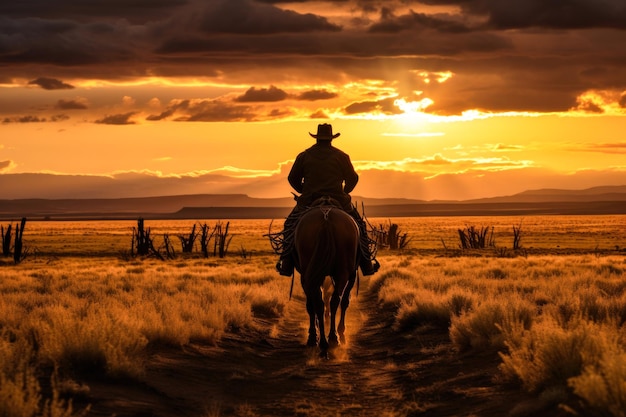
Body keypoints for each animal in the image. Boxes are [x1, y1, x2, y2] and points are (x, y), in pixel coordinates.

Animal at [292, 198, 356, 358]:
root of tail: (326, 220)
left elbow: (314, 304)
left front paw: (314, 334)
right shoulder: (351, 275)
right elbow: (344, 301)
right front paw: (341, 333)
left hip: (312, 273)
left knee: (319, 303)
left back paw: (321, 341)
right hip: (340, 273)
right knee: (333, 301)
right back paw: (331, 339)